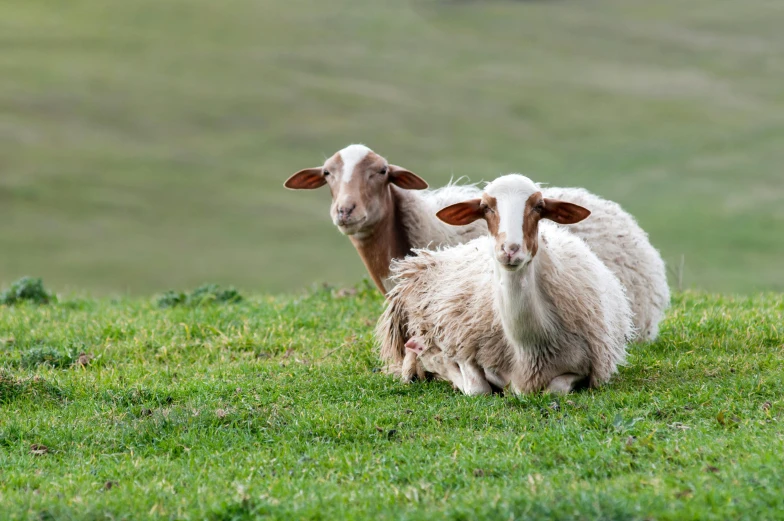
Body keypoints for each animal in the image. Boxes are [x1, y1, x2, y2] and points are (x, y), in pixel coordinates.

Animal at [376, 175, 632, 394]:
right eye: (485, 207)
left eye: (539, 206)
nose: (510, 249)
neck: (528, 348)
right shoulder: (465, 348)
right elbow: (476, 387)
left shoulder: (586, 369)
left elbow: (555, 389)